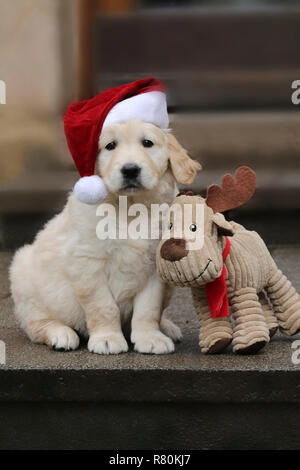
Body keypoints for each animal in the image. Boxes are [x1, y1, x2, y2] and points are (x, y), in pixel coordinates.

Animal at [9, 119, 202, 354]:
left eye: (147, 143)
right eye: (110, 145)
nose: (130, 170)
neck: (130, 208)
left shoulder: (157, 265)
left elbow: (149, 308)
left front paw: (150, 338)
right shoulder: (88, 262)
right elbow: (103, 306)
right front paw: (107, 339)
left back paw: (166, 327)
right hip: (25, 280)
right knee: (37, 323)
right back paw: (60, 334)